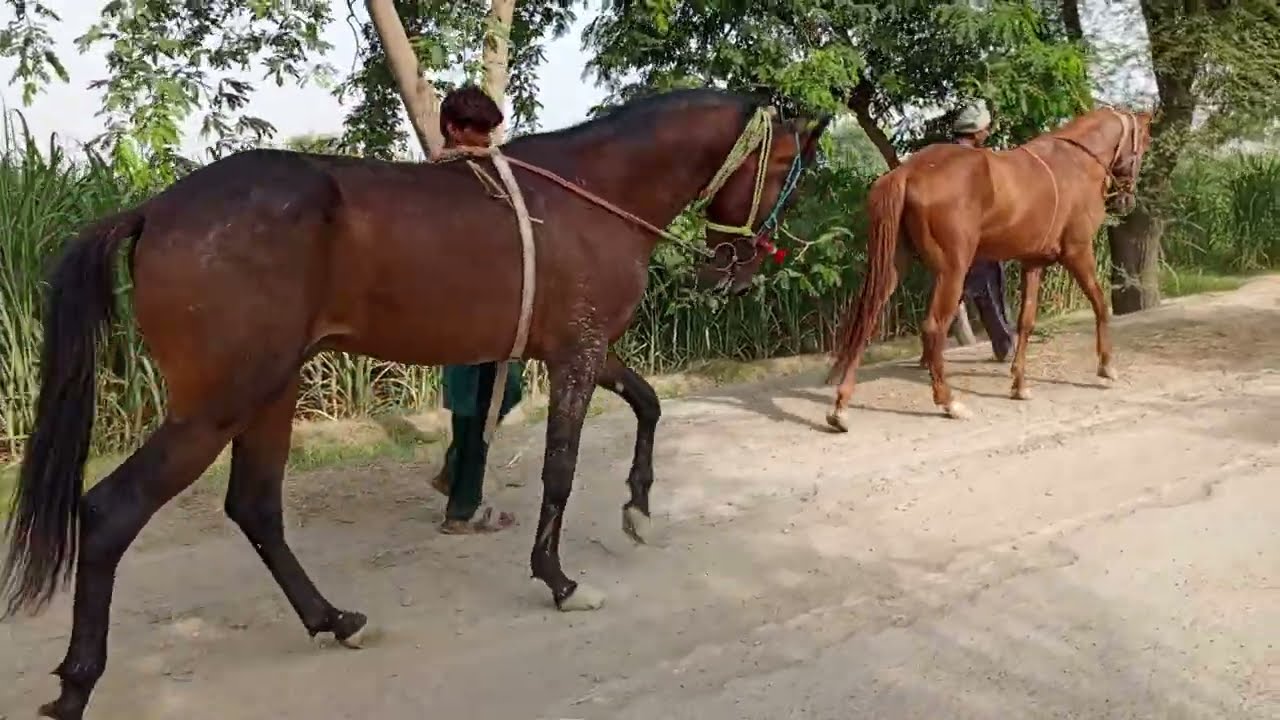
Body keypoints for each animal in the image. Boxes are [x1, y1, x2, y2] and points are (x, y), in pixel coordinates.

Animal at [0, 87, 832, 720]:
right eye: (785, 168)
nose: (734, 269)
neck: (598, 192)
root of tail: (156, 209)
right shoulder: (576, 354)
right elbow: (561, 470)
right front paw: (559, 581)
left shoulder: (585, 350)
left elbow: (650, 404)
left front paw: (638, 506)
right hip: (216, 405)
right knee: (112, 512)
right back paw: (76, 685)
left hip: (271, 389)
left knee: (255, 507)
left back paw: (333, 620)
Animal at [824, 105, 1153, 430]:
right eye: (1145, 142)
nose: (1126, 200)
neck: (1076, 162)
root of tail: (907, 172)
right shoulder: (1078, 251)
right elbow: (1100, 304)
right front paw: (1106, 367)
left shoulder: (1033, 262)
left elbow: (1025, 321)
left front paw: (1019, 384)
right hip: (953, 269)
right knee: (933, 328)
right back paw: (948, 402)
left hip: (893, 265)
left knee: (867, 319)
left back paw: (840, 407)